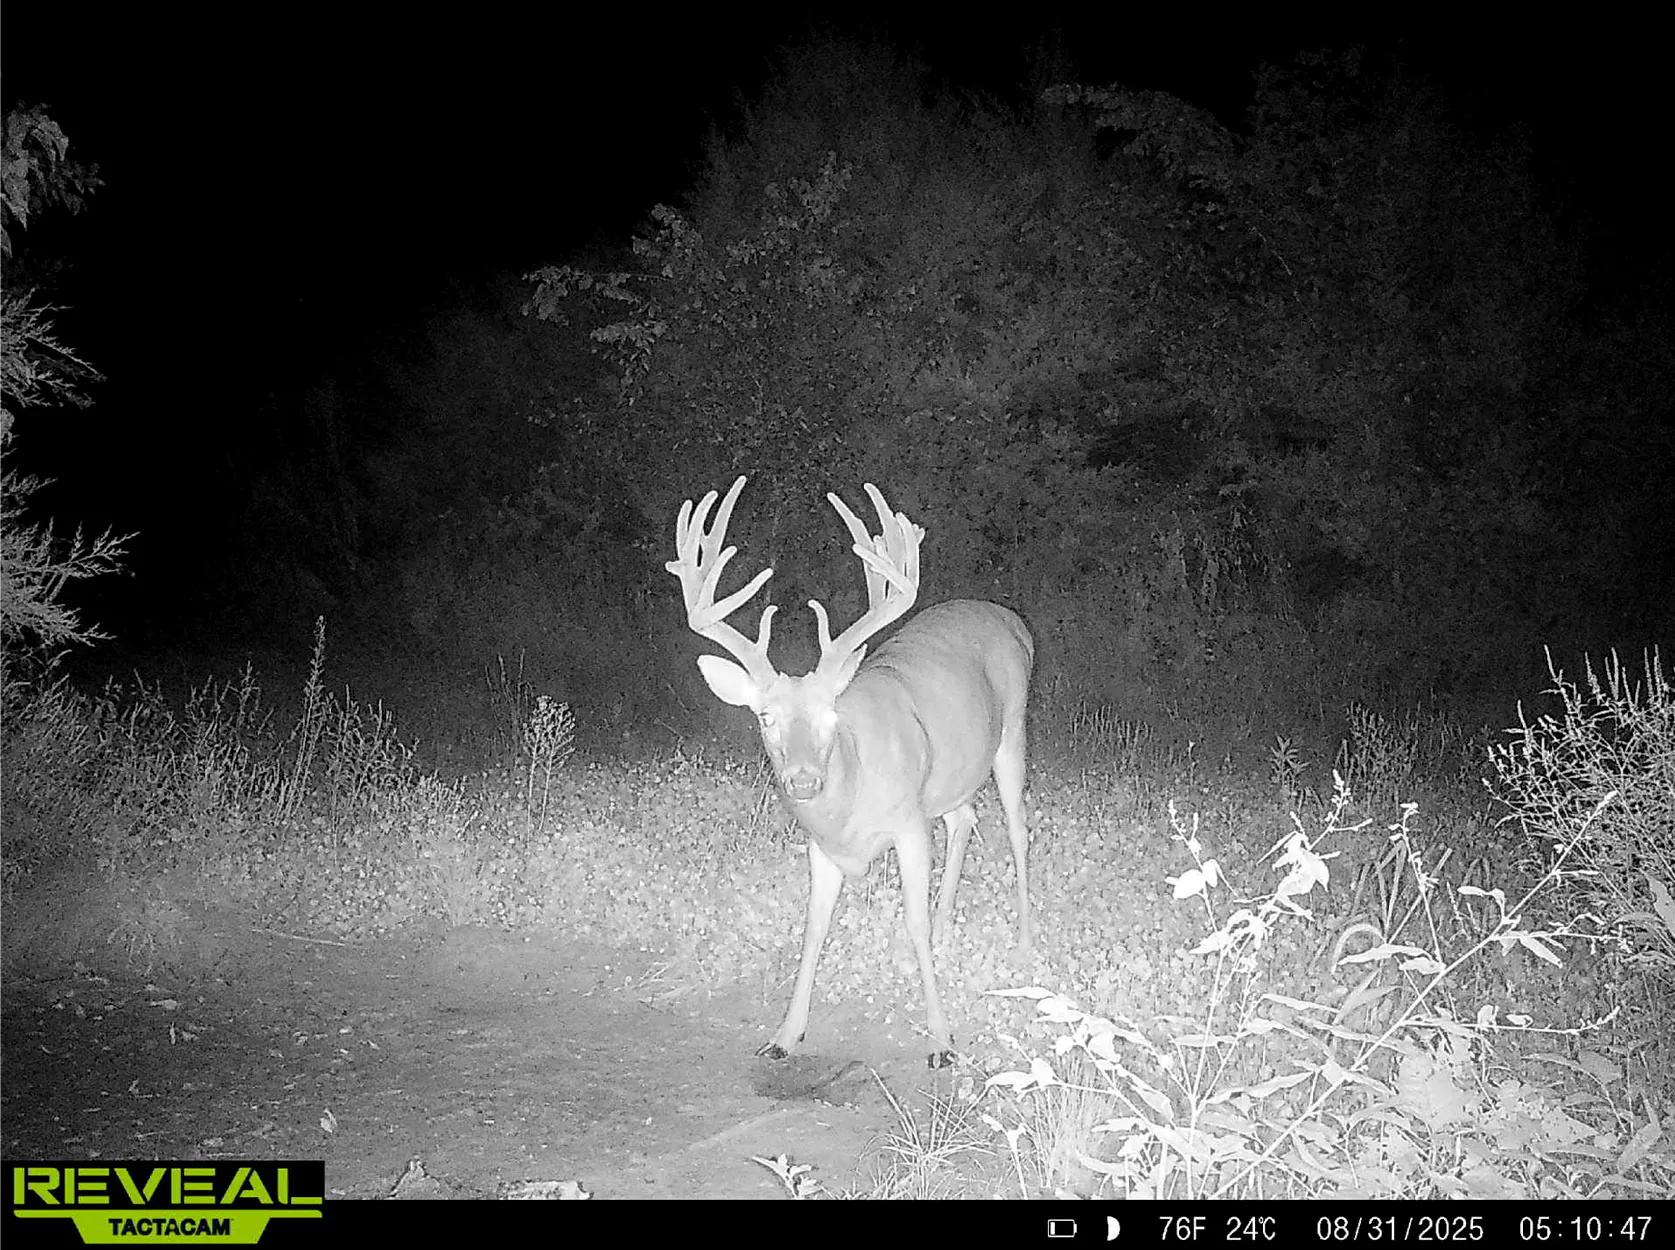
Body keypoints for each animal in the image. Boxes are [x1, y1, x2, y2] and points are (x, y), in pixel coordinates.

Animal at [666, 475, 1033, 1068]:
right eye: (765, 716)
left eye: (830, 713)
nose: (803, 780)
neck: (851, 799)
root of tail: (1011, 618)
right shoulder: (822, 847)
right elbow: (814, 927)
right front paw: (785, 1034)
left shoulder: (909, 824)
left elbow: (912, 920)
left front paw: (941, 1040)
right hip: (952, 770)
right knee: (965, 819)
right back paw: (948, 928)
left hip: (1013, 730)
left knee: (1019, 830)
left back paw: (1023, 942)